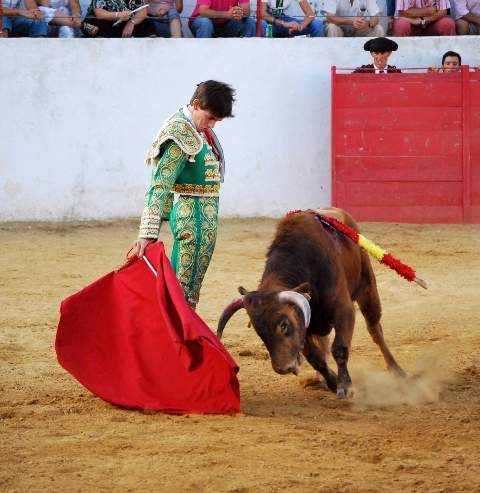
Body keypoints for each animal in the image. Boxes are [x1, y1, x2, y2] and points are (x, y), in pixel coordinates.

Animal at [219, 206, 406, 398]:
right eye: (259, 332)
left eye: (284, 325)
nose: (283, 368)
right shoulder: (304, 324)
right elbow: (315, 357)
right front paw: (332, 381)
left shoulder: (344, 310)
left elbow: (339, 348)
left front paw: (345, 385)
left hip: (367, 286)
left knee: (375, 330)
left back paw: (396, 371)